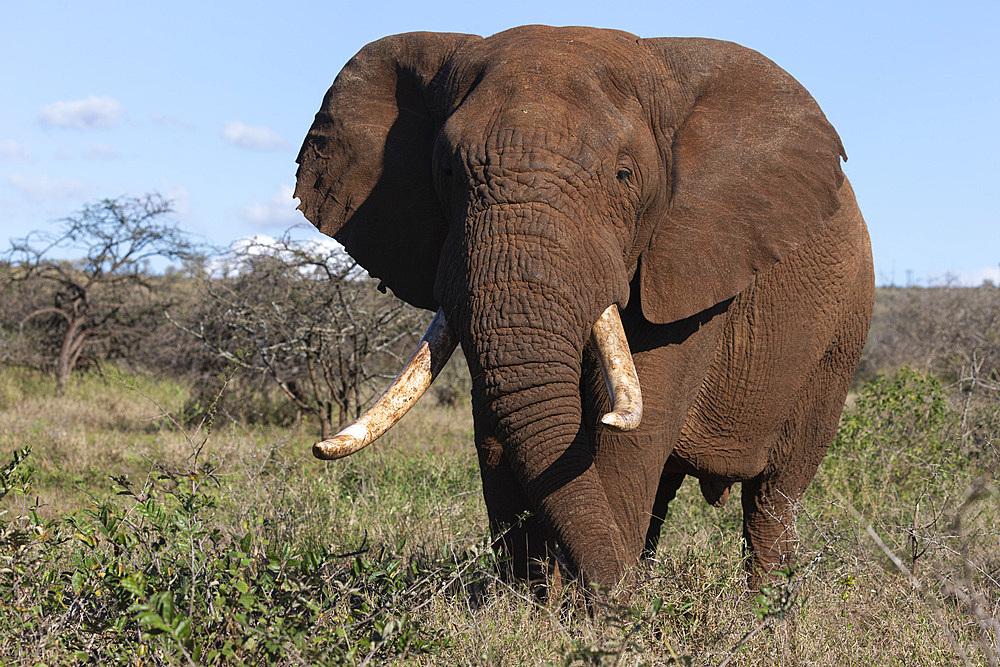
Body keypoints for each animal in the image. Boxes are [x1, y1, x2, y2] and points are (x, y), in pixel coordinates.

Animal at [292, 24, 872, 588]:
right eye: (448, 174)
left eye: (624, 175)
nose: (317, 449)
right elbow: (498, 429)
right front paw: (536, 604)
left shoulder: (691, 265)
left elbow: (632, 430)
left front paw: (596, 610)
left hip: (839, 342)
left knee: (774, 495)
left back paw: (765, 604)